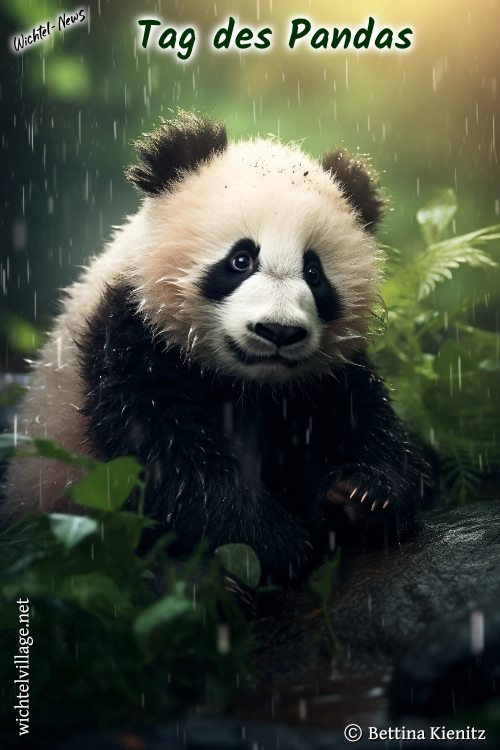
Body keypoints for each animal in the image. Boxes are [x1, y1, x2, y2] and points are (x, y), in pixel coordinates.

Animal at [2, 111, 427, 582]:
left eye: (314, 273)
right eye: (241, 260)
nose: (278, 332)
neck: (247, 384)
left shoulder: (325, 376)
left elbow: (358, 417)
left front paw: (360, 496)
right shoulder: (130, 334)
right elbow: (166, 453)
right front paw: (274, 541)